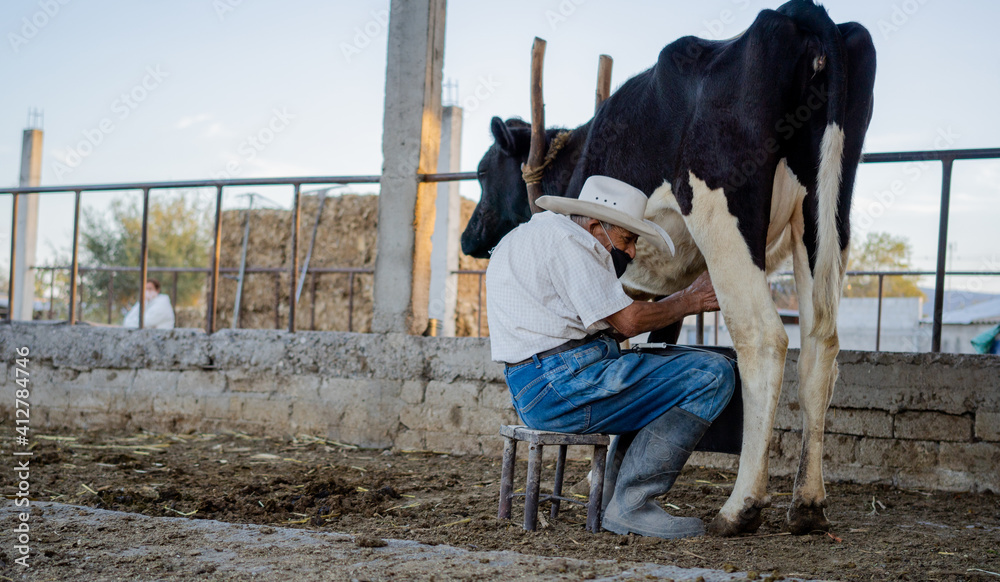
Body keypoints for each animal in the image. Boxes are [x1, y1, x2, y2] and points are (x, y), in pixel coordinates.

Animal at [460, 1, 876, 540]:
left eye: (482, 171)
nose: (467, 237)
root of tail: (798, 13)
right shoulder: (662, 295)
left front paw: (603, 482)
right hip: (826, 213)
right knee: (820, 342)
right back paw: (807, 504)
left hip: (722, 206)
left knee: (763, 338)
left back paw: (740, 508)